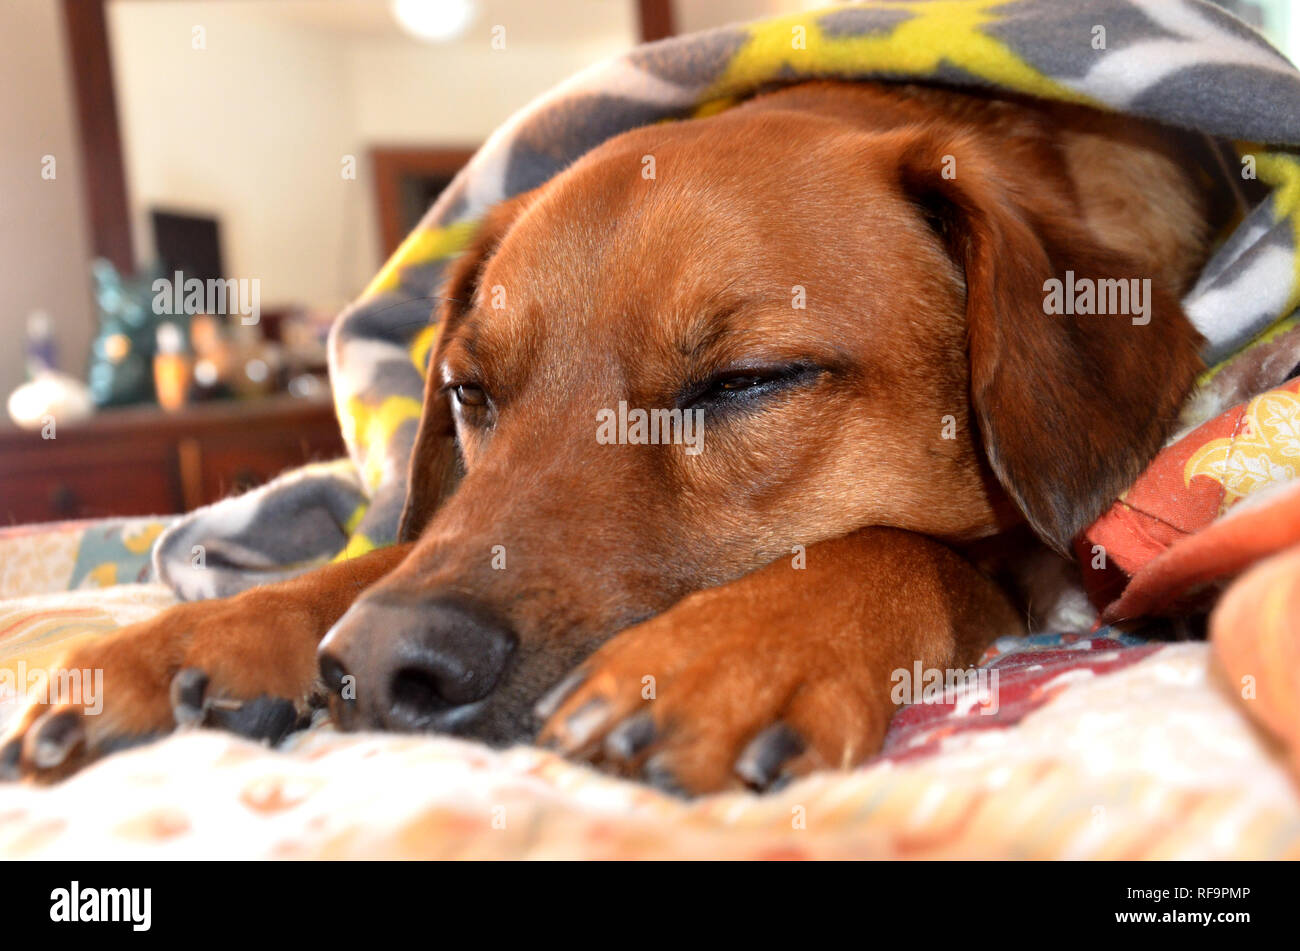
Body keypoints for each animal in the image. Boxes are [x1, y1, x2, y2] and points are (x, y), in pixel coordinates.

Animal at [5, 81, 1211, 795]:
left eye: (745, 382)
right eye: (469, 393)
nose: (381, 664)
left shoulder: (1026, 547)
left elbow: (897, 542)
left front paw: (736, 647)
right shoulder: (436, 529)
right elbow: (390, 551)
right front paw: (194, 639)